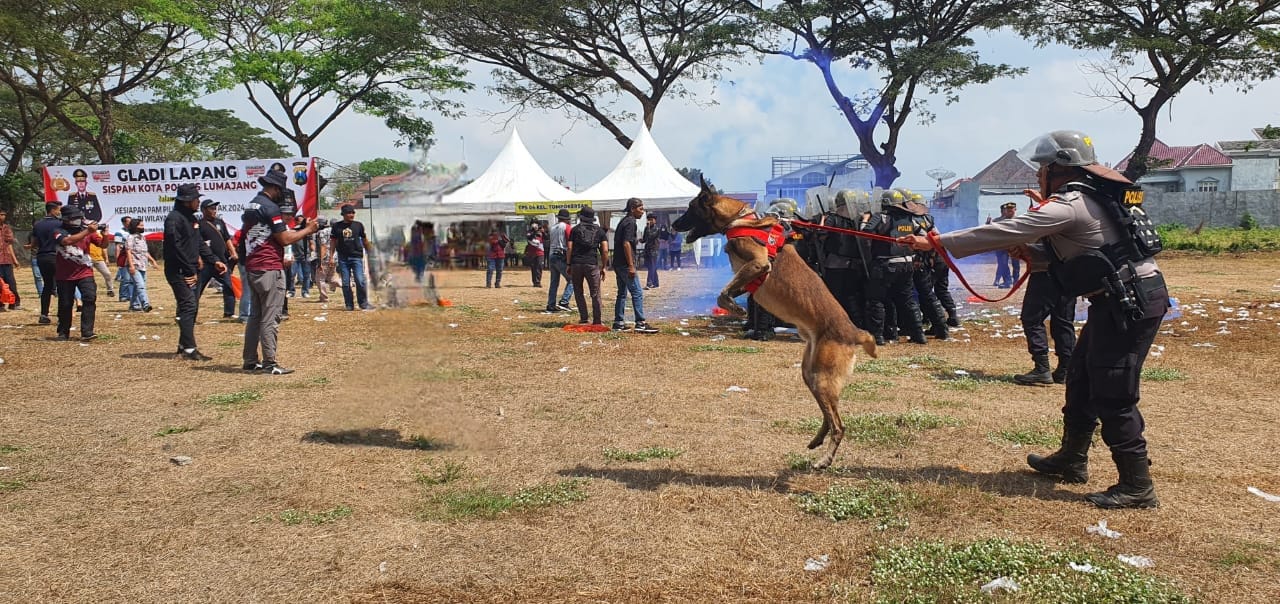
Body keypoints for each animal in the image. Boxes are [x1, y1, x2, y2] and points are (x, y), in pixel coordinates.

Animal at [670, 179, 880, 468]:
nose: (673, 225)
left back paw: (825, 460)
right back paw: (816, 441)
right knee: (829, 416)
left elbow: (723, 294)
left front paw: (734, 308)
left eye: (690, 208)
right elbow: (731, 290)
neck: (741, 219)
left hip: (822, 378)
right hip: (810, 374)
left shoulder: (759, 264)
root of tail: (854, 332)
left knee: (839, 425)